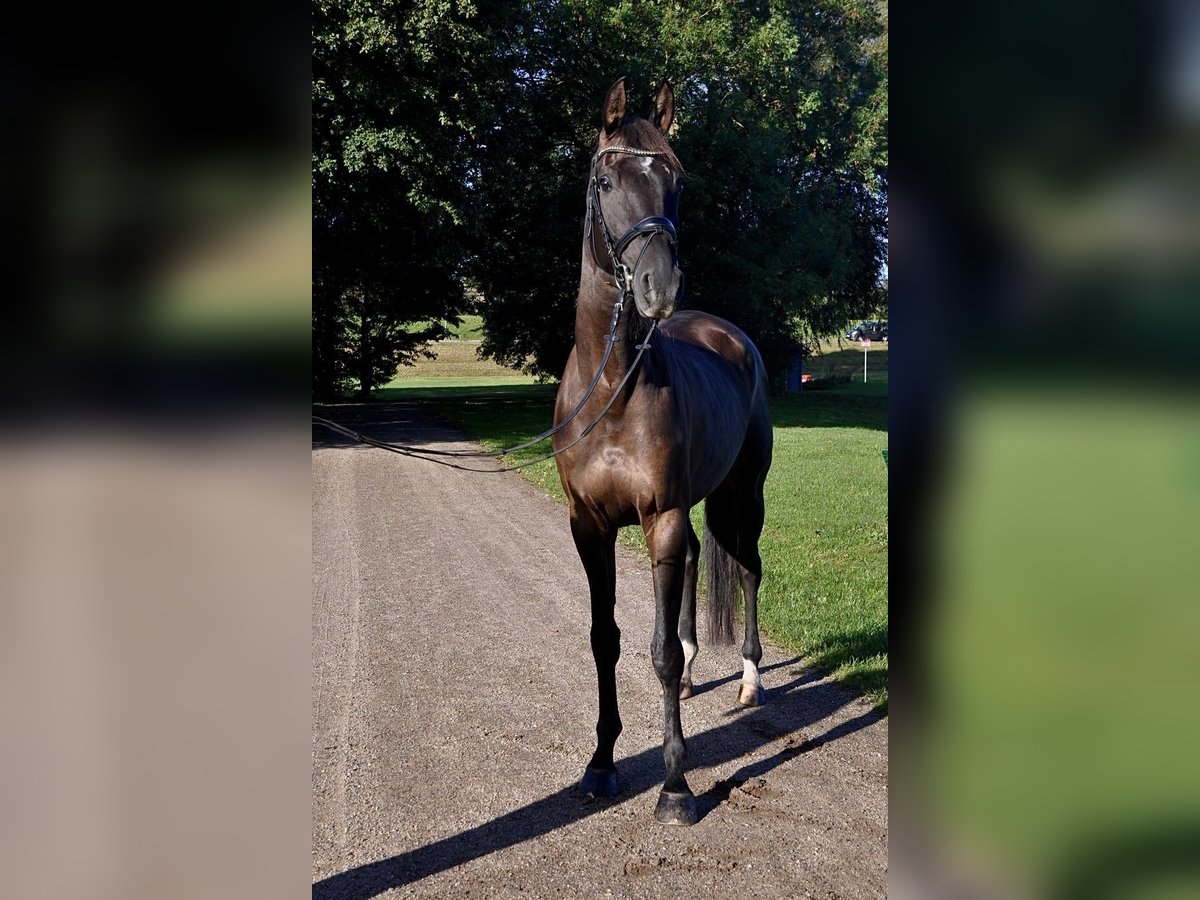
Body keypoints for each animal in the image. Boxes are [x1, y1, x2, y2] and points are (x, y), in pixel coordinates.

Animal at [549, 75, 772, 825]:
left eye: (676, 179)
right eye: (606, 179)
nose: (659, 287)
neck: (614, 390)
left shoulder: (664, 517)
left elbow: (661, 656)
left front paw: (675, 784)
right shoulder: (588, 526)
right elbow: (606, 640)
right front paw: (600, 763)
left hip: (743, 495)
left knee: (750, 570)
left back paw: (750, 682)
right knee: (706, 562)